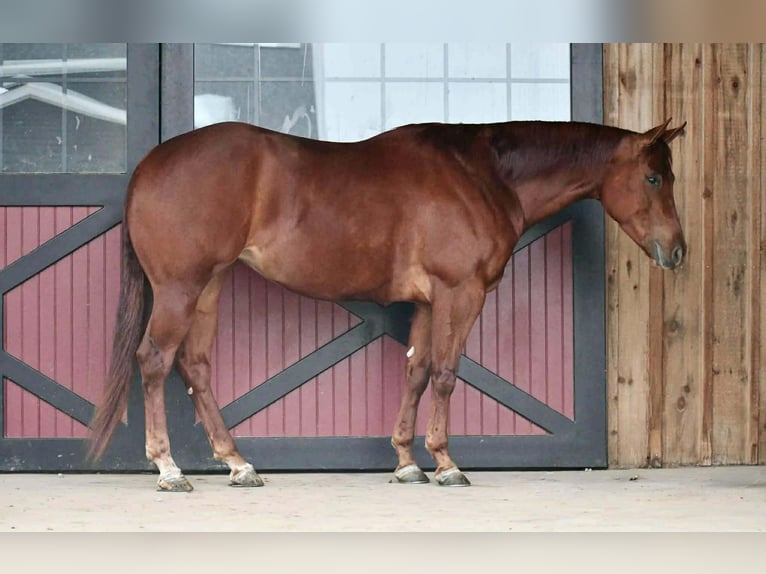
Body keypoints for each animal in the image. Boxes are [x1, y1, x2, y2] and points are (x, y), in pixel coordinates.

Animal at [88, 117, 686, 491]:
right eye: (654, 177)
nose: (677, 251)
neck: (481, 175)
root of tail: (149, 165)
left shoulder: (426, 301)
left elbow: (416, 372)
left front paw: (405, 463)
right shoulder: (460, 292)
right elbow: (445, 373)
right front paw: (445, 463)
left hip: (209, 286)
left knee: (194, 365)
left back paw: (238, 465)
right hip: (180, 288)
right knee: (155, 361)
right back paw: (170, 470)